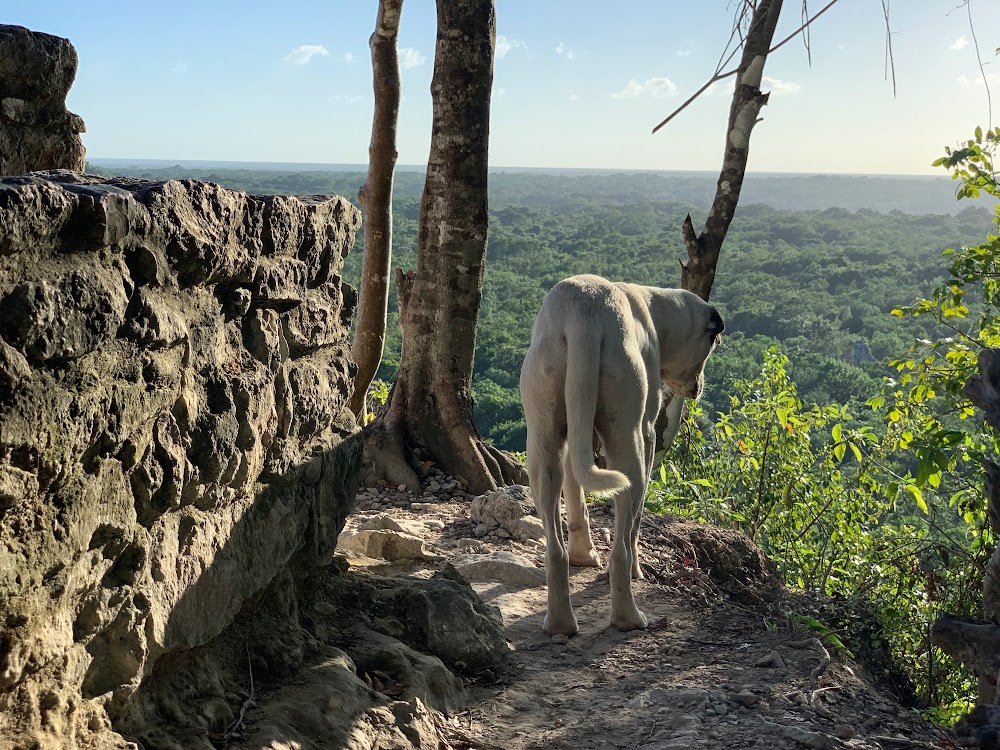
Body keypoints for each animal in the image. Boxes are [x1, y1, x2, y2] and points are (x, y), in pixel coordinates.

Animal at [520, 274, 724, 636]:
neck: (654, 310)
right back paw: (628, 616)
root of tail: (582, 315)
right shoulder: (648, 433)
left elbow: (577, 501)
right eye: (712, 342)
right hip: (628, 443)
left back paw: (559, 622)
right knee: (622, 543)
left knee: (554, 546)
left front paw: (584, 555)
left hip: (543, 438)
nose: (698, 388)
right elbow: (635, 522)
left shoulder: (576, 438)